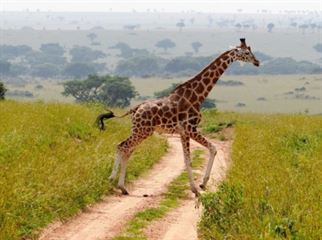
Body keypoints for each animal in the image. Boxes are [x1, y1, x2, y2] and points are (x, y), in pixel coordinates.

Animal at [97, 38, 260, 196]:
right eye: (246, 53)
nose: (257, 62)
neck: (198, 96)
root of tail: (136, 108)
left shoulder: (183, 132)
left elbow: (187, 159)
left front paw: (196, 187)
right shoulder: (191, 129)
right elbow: (210, 150)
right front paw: (200, 186)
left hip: (141, 131)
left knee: (127, 150)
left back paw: (122, 187)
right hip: (142, 131)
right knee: (122, 146)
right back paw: (112, 179)